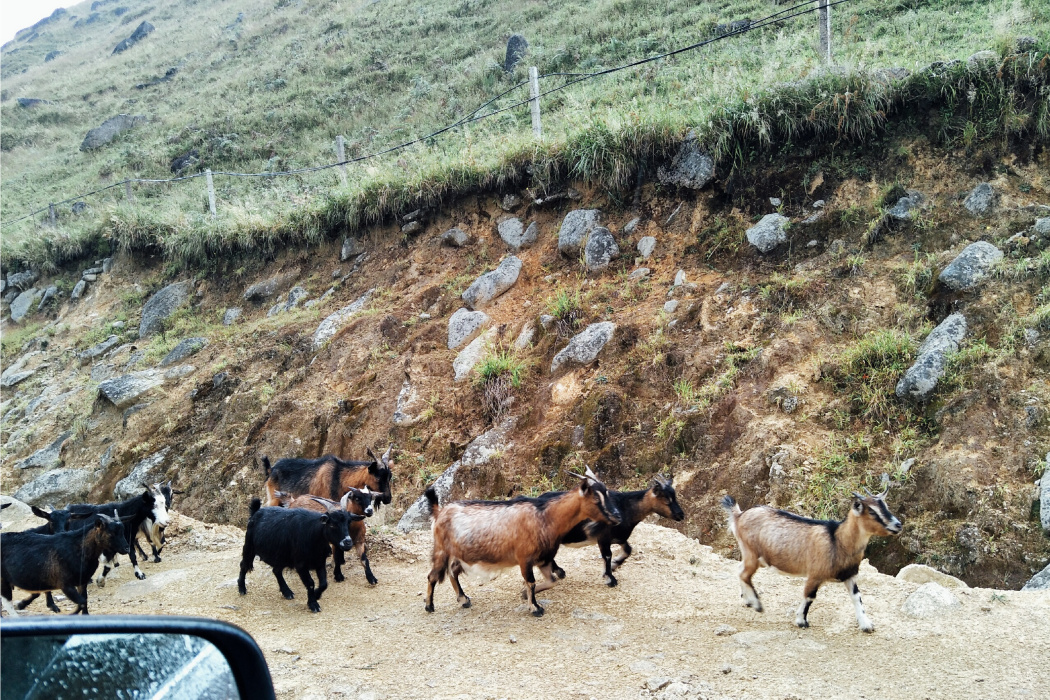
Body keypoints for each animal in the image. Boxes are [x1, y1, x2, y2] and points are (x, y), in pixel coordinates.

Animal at [0, 512, 130, 617]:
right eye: (111, 533)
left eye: (122, 531)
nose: (127, 548)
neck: (78, 548)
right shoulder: (65, 585)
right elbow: (82, 601)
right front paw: (71, 614)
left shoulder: (82, 581)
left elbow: (85, 599)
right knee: (7, 601)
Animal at [261, 447, 394, 505]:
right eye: (378, 477)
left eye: (390, 477)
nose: (388, 498)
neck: (340, 477)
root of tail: (271, 469)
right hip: (274, 498)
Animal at [426, 474, 621, 617]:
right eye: (596, 499)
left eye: (607, 493)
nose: (617, 516)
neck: (545, 517)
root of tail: (440, 512)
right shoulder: (524, 558)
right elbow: (531, 582)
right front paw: (535, 608)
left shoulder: (543, 559)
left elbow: (552, 581)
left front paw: (524, 595)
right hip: (441, 550)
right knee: (433, 576)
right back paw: (429, 606)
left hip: (460, 554)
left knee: (453, 571)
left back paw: (463, 599)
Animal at [546, 476, 684, 587]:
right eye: (666, 500)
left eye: (675, 497)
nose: (681, 515)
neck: (624, 507)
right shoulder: (603, 537)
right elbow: (607, 555)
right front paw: (610, 579)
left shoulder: (619, 537)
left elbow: (628, 550)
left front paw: (614, 565)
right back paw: (559, 571)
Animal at [722, 478, 902, 633]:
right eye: (871, 511)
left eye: (886, 506)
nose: (898, 525)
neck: (838, 540)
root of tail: (739, 515)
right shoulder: (815, 574)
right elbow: (809, 596)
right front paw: (801, 621)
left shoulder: (849, 575)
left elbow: (857, 597)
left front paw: (866, 625)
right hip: (751, 552)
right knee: (744, 574)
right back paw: (757, 604)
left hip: (754, 556)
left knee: (740, 570)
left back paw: (746, 600)